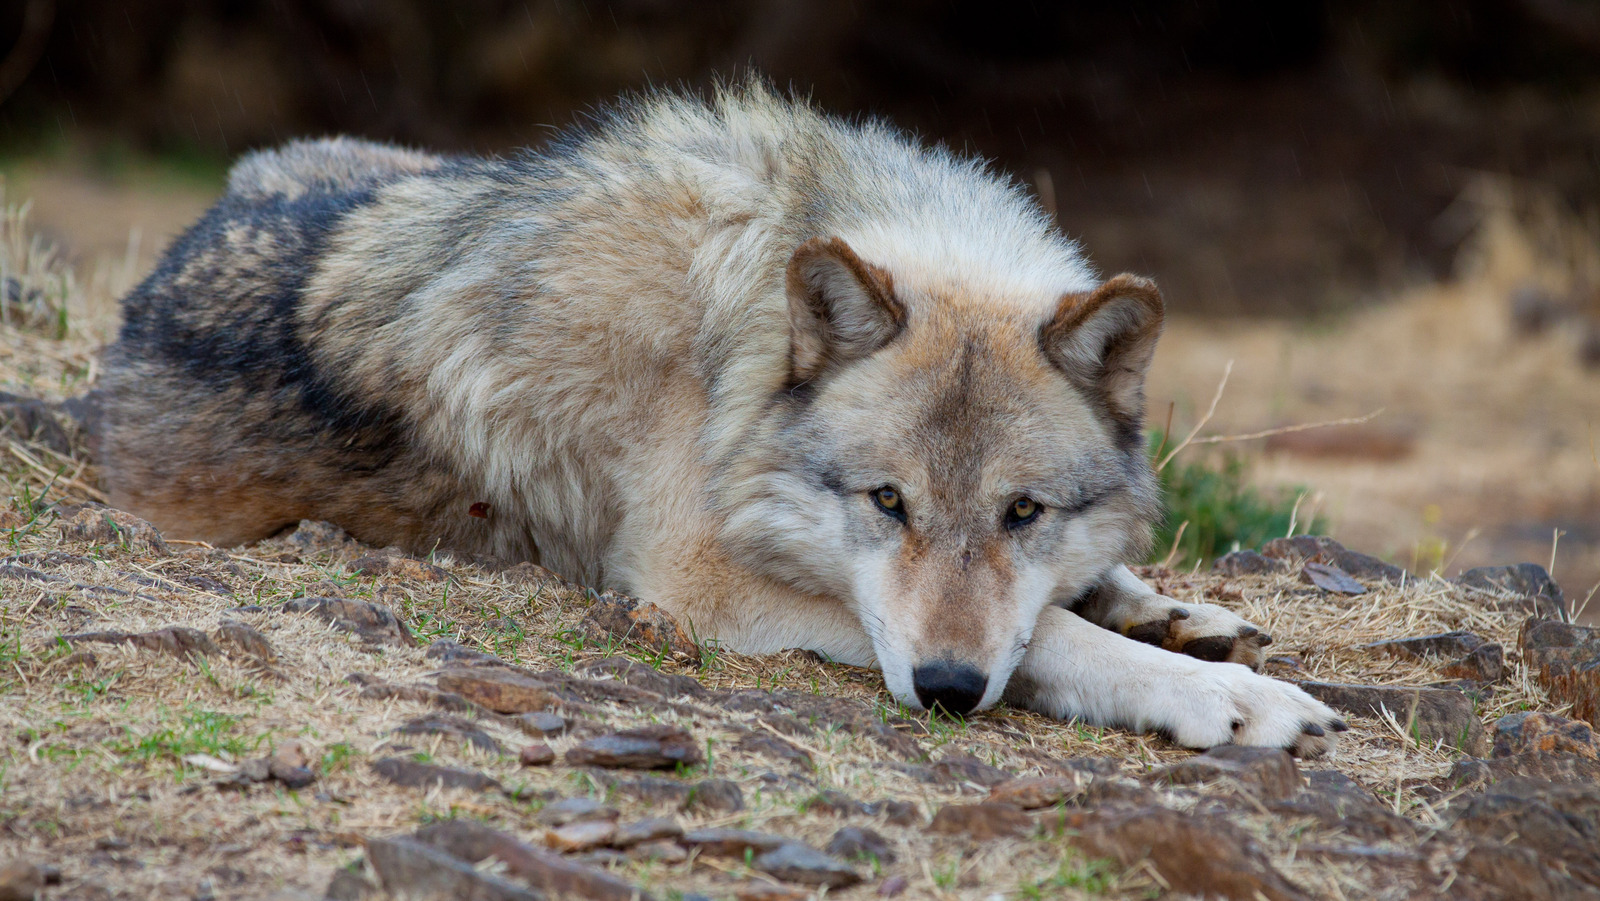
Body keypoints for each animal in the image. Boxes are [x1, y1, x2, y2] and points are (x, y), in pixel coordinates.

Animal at [103, 82, 1350, 755]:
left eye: (1023, 512)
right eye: (886, 503)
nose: (948, 693)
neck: (737, 339)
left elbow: (1053, 601)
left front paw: (1174, 619)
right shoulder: (694, 584)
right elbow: (1045, 635)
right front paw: (1226, 698)